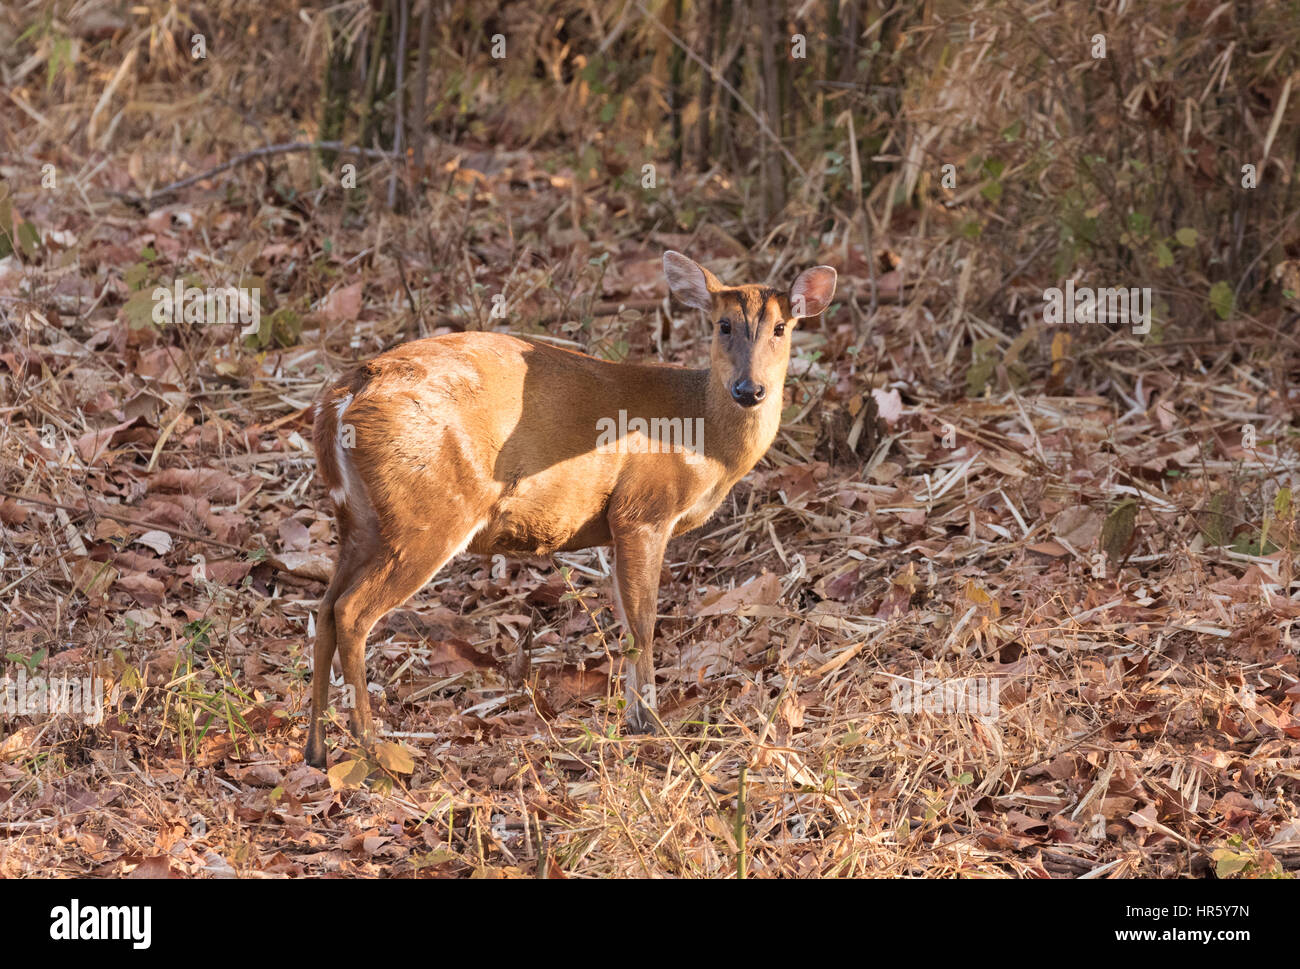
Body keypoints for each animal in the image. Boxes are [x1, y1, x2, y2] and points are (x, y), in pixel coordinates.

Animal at [302, 249, 832, 764]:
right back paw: (372, 748)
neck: (700, 434)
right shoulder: (642, 509)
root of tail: (343, 397)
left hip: (360, 518)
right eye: (723, 325)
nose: (749, 389)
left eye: (781, 327)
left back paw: (318, 751)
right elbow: (643, 622)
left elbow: (626, 619)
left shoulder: (619, 525)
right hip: (429, 514)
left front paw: (636, 720)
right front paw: (650, 725)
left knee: (325, 607)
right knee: (352, 611)